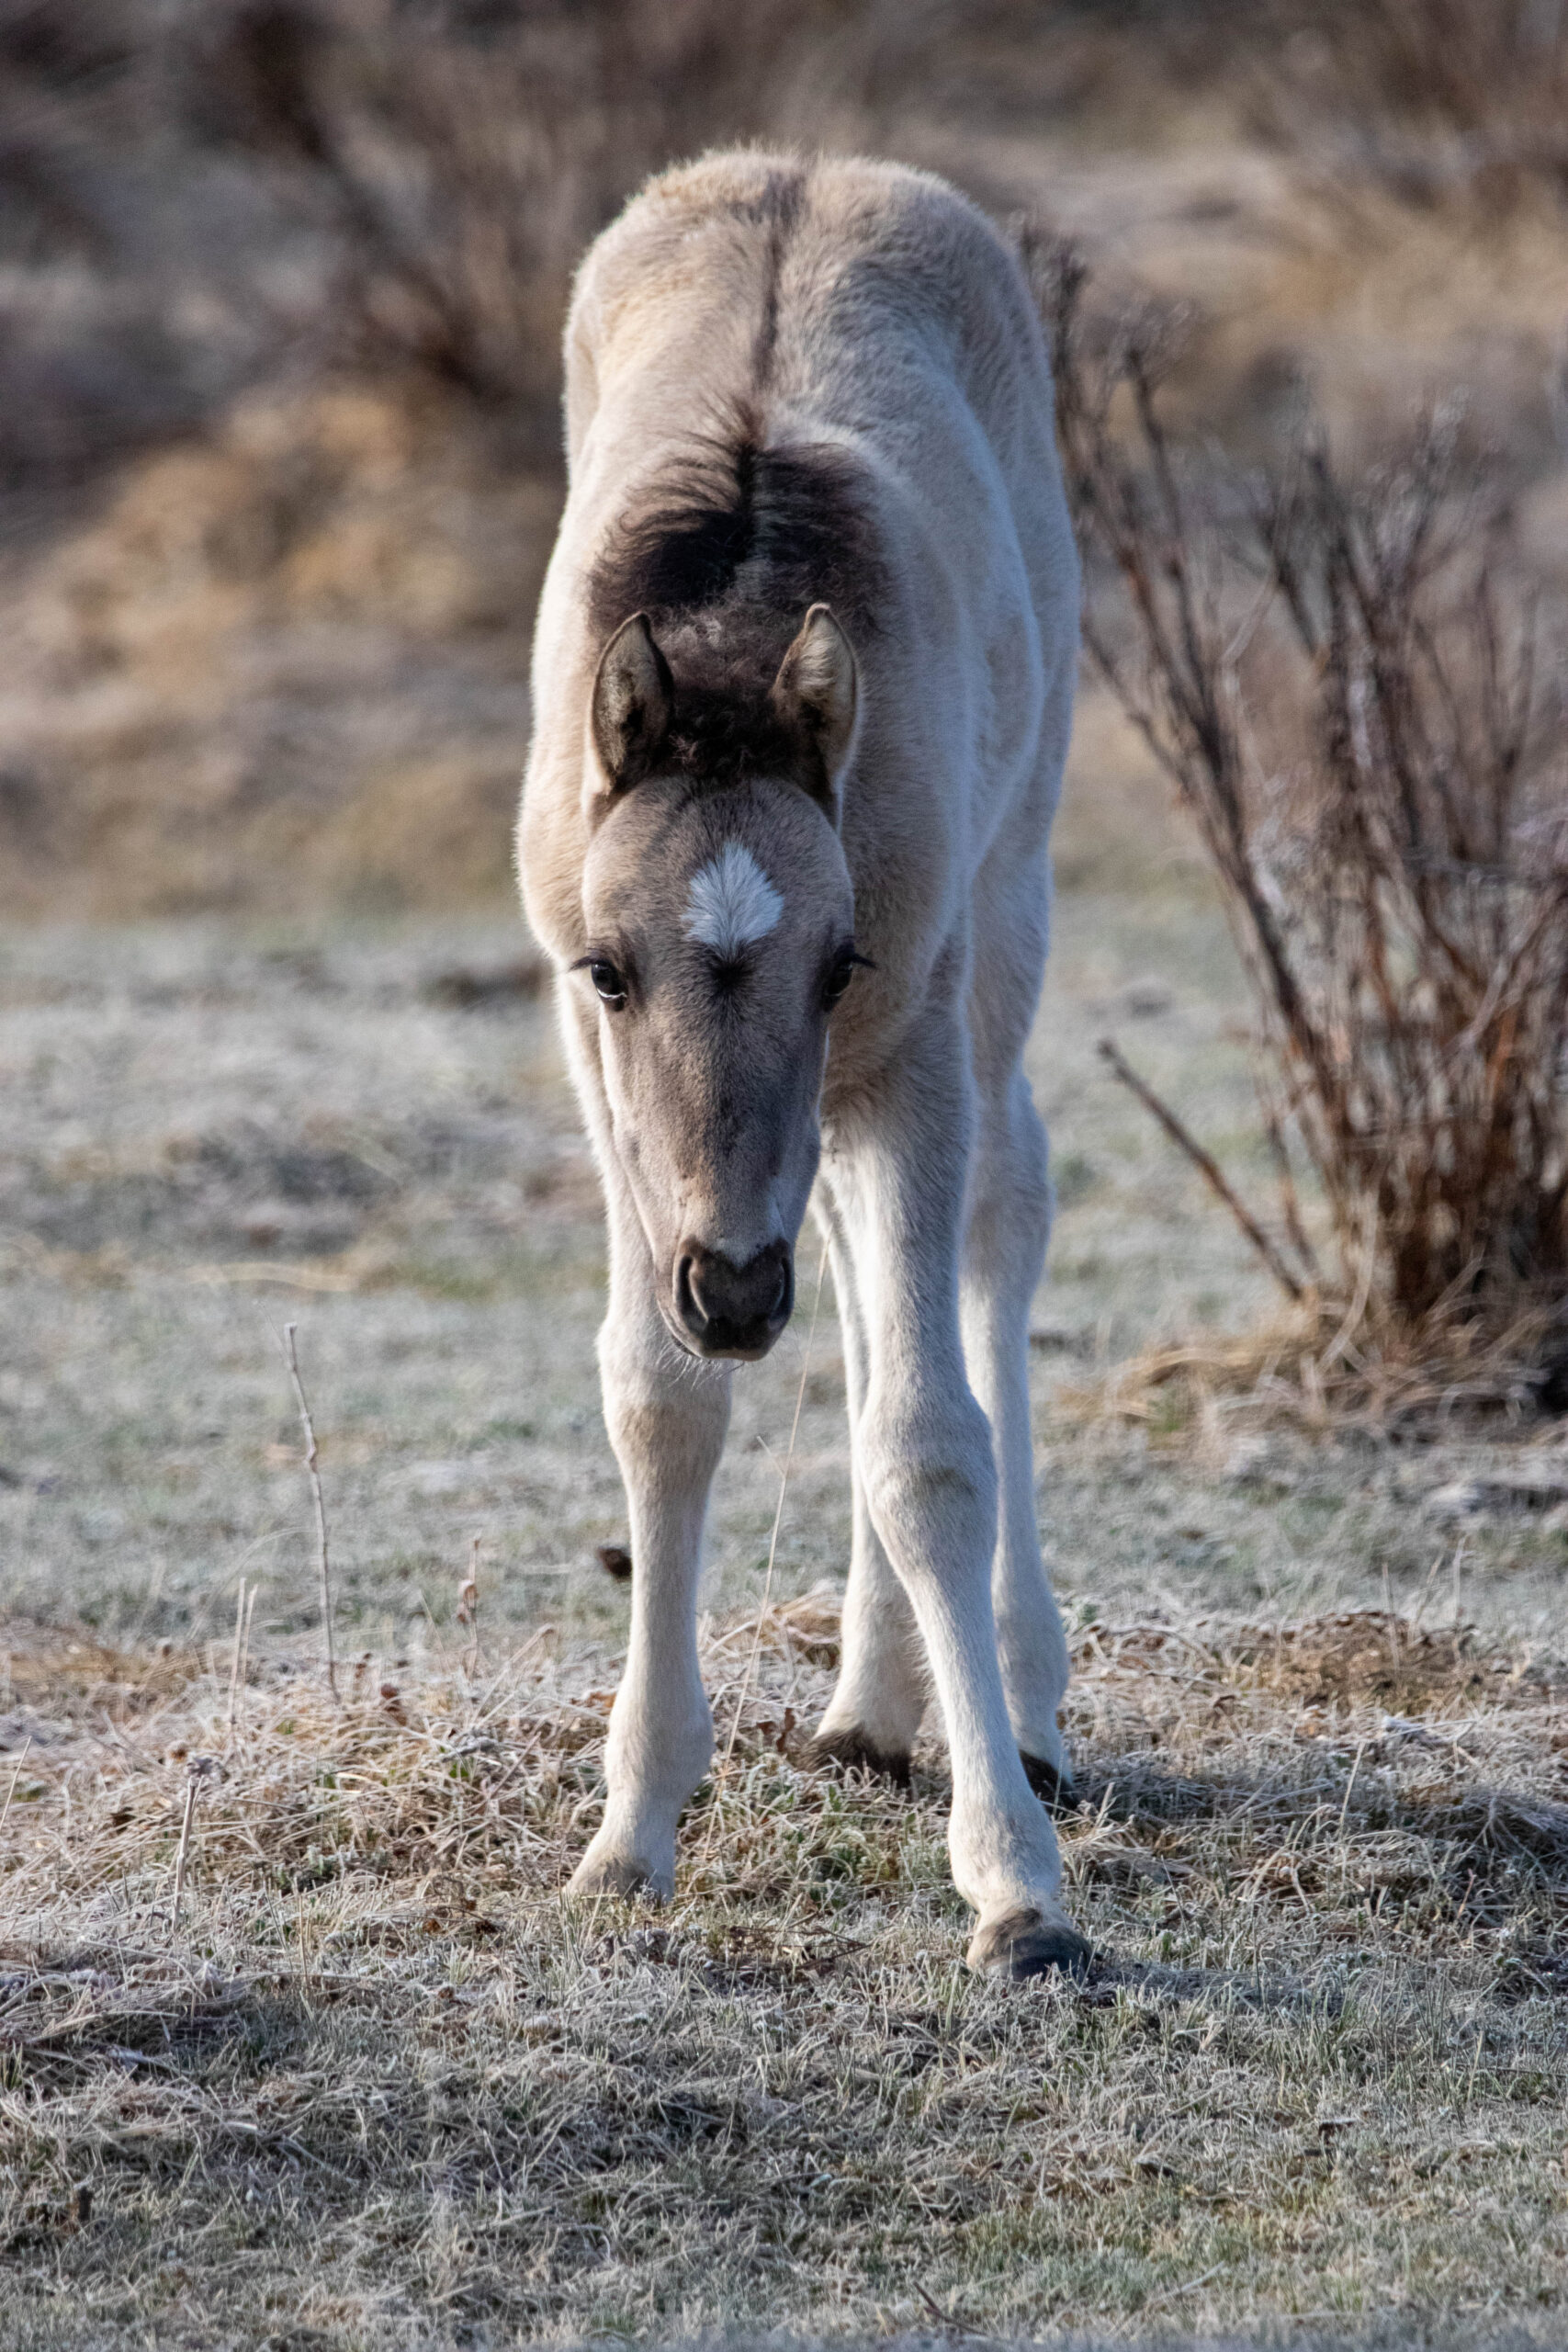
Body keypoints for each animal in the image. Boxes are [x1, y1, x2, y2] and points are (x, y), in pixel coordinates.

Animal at [518, 150, 1086, 1978]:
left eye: (835, 964)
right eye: (608, 968)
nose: (730, 1289)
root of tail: (807, 165)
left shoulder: (905, 1031)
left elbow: (929, 1439)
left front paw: (1015, 1884)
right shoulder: (604, 1084)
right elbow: (658, 1399)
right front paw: (627, 1834)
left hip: (1010, 906)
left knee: (994, 1223)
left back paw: (1014, 1702)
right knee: (842, 1256)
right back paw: (866, 1705)